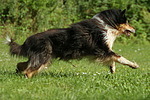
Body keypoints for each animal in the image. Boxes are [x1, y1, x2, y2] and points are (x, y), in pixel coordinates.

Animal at [6, 9, 139, 78]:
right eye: (127, 22)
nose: (135, 29)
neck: (107, 25)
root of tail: (27, 41)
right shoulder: (101, 49)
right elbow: (119, 57)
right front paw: (134, 65)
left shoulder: (102, 52)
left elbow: (113, 59)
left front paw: (112, 69)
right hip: (44, 57)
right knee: (28, 70)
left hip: (41, 57)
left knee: (22, 64)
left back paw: (19, 71)